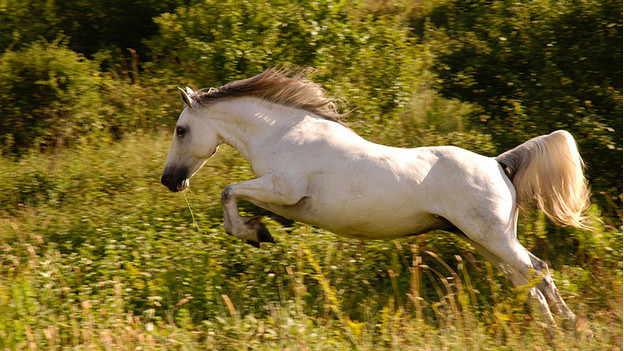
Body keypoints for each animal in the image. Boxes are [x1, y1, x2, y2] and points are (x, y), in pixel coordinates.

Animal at [162, 67, 588, 332]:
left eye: (181, 130)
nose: (170, 181)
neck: (282, 133)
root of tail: (498, 163)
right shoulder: (281, 197)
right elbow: (239, 197)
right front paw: (259, 230)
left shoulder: (284, 189)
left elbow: (229, 190)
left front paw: (252, 233)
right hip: (483, 240)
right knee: (525, 280)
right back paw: (550, 329)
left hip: (493, 238)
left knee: (538, 270)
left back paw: (569, 327)